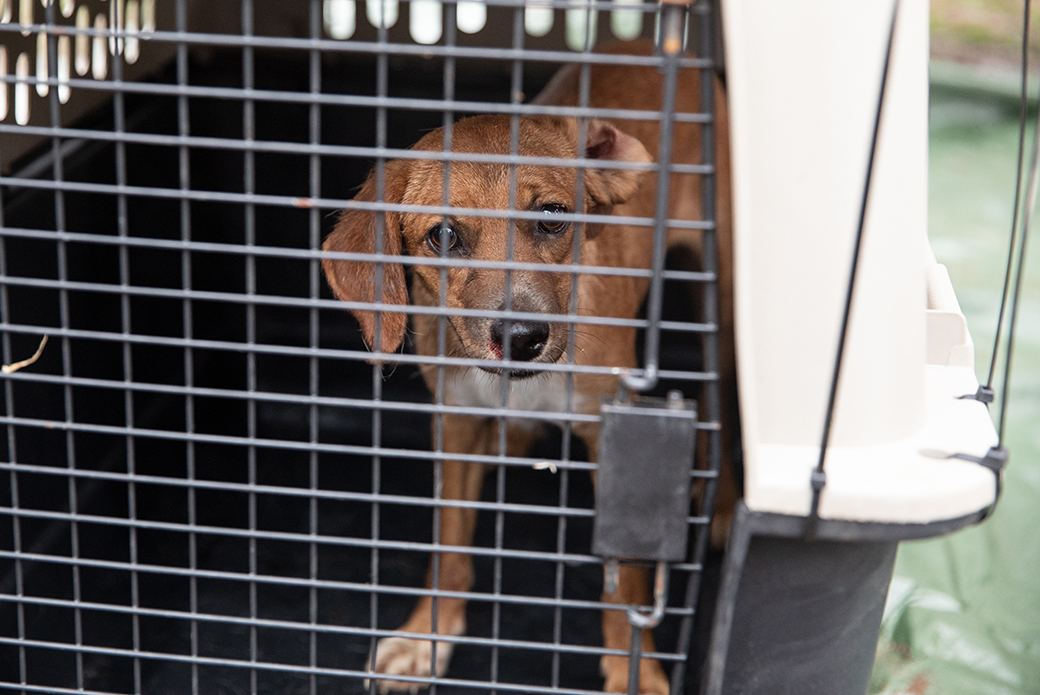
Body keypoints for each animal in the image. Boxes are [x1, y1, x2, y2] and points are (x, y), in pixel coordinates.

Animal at [320, 42, 736, 695]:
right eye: (443, 235)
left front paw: (635, 672)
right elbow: (449, 542)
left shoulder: (613, 436)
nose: (521, 338)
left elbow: (626, 578)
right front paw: (426, 636)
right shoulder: (456, 420)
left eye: (552, 216)